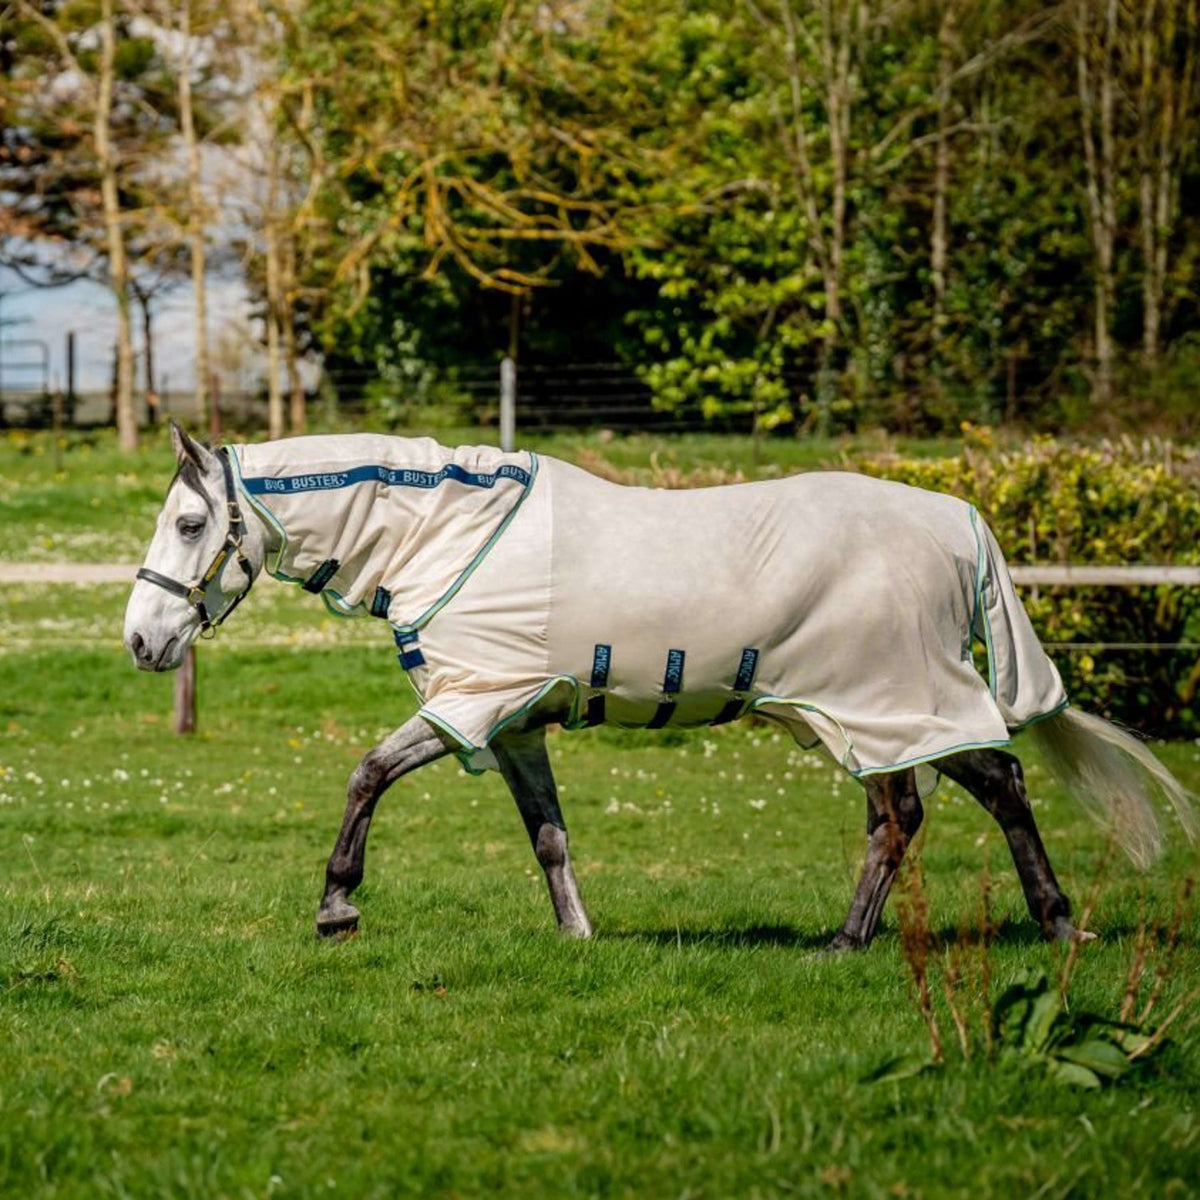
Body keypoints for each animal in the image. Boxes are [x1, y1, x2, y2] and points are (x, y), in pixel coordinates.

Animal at [121, 424, 1190, 945]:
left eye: (188, 524)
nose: (141, 639)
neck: (451, 535)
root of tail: (956, 520)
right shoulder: (513, 723)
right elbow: (548, 834)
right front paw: (578, 935)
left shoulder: (470, 703)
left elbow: (366, 774)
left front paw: (337, 910)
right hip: (892, 712)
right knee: (989, 787)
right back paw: (1055, 923)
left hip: (881, 702)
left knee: (905, 818)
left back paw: (849, 942)